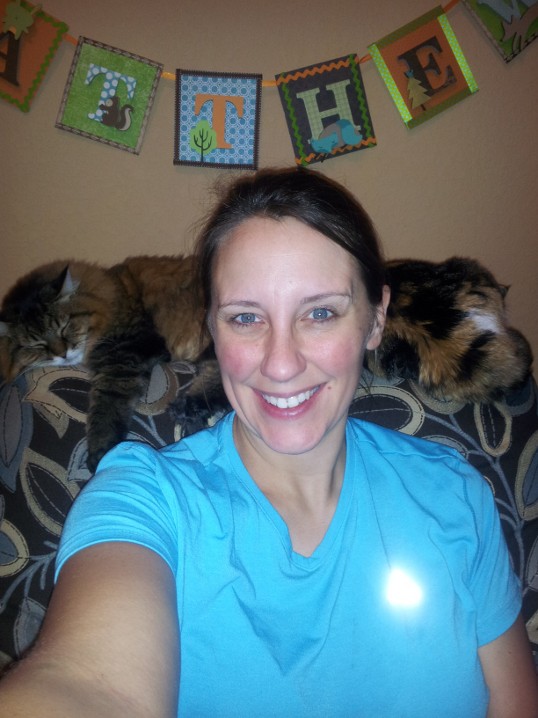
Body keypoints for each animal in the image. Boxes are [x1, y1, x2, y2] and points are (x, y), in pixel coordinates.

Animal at [0, 256, 209, 471]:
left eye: (63, 328)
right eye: (37, 345)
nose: (63, 354)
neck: (114, 294)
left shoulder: (126, 357)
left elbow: (105, 409)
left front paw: (101, 456)